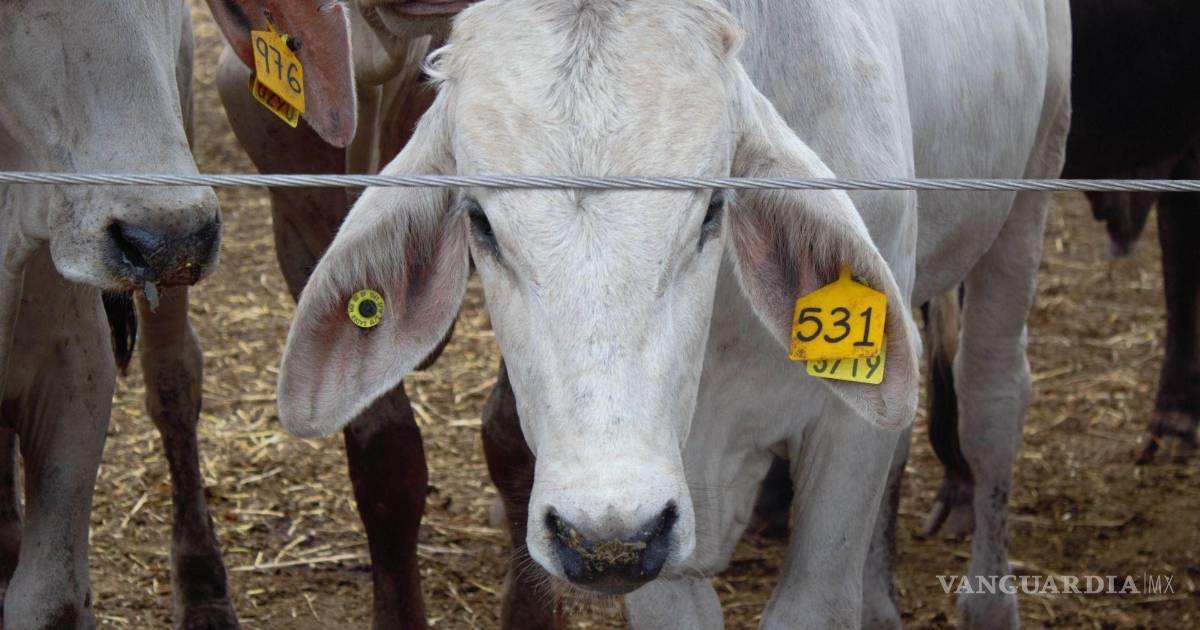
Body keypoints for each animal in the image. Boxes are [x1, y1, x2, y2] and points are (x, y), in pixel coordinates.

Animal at [276, 1, 1070, 628]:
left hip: (1029, 193)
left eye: (713, 206)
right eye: (479, 220)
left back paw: (990, 604)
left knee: (994, 396)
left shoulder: (844, 438)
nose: (604, 533)